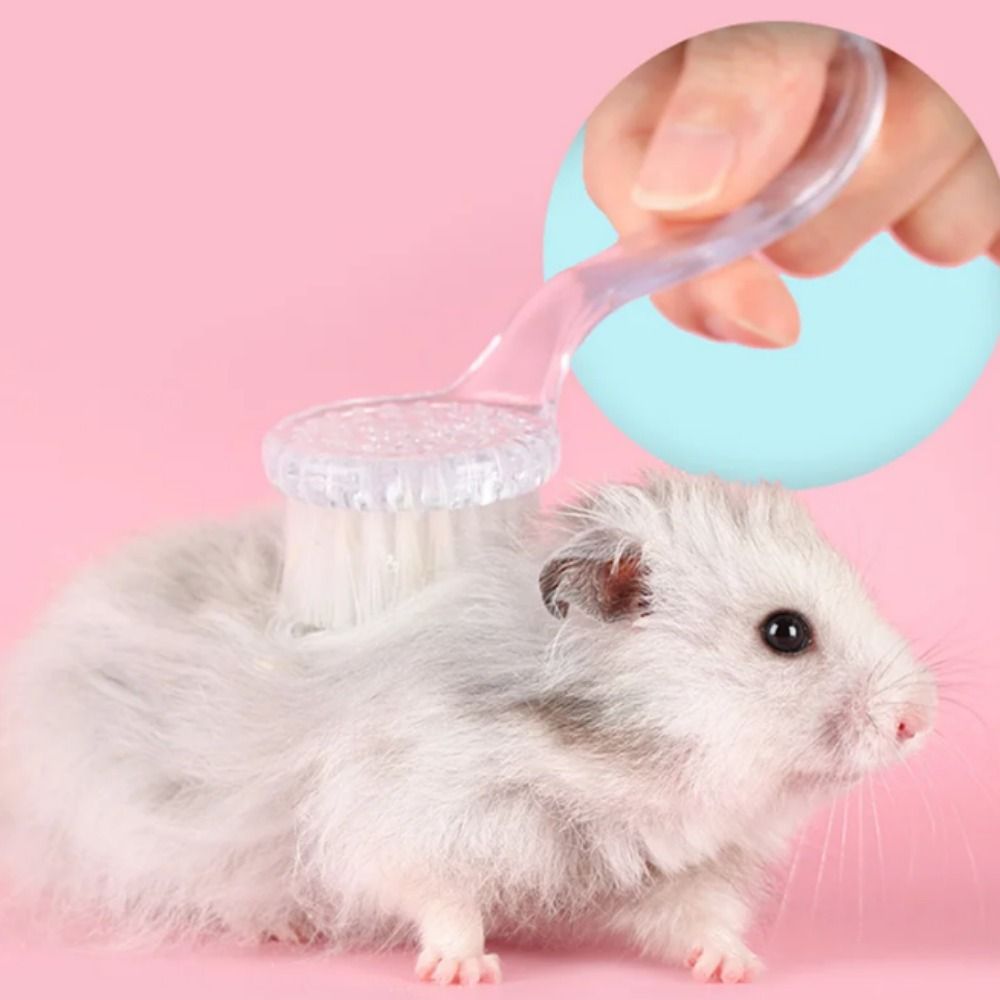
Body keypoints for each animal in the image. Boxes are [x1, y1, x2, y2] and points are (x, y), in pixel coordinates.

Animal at [0, 473, 937, 985]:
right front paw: (466, 971)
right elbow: (441, 900)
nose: (916, 722)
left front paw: (737, 968)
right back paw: (285, 926)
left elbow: (697, 919)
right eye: (785, 633)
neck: (626, 761)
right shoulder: (411, 823)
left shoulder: (682, 865)